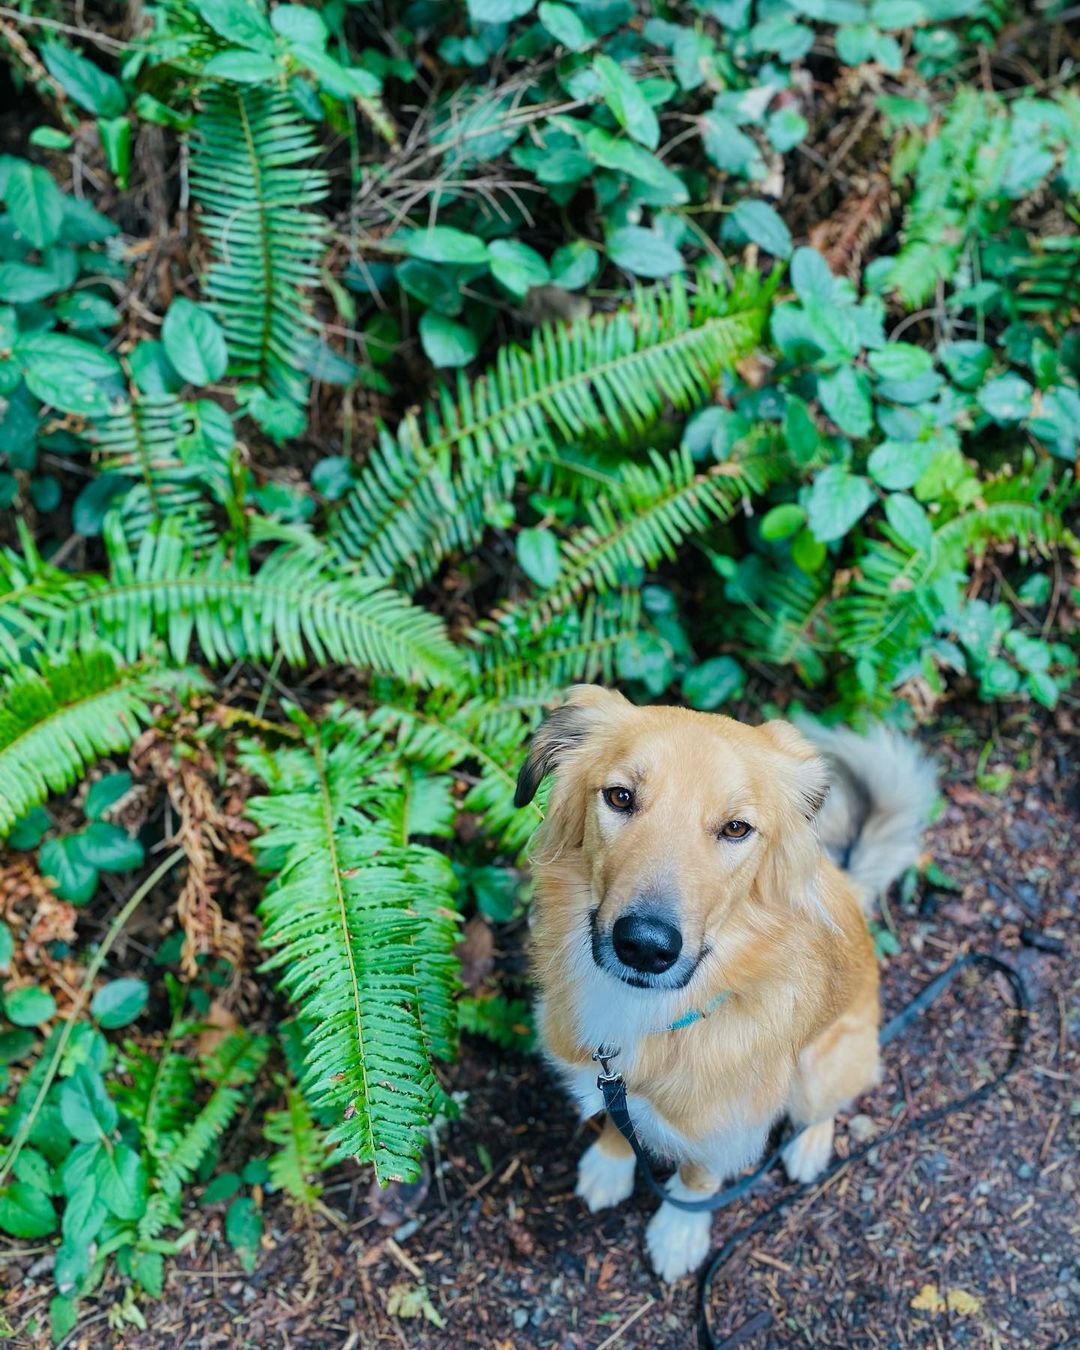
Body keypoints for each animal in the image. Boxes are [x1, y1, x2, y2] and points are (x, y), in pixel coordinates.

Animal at [515, 691, 934, 1279]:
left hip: (822, 1064)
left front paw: (679, 1232)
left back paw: (808, 1145)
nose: (645, 946)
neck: (654, 1012)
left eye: (736, 828)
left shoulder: (728, 1127)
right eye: (620, 797)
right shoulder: (613, 1079)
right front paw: (612, 1163)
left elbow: (698, 1180)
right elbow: (620, 1122)